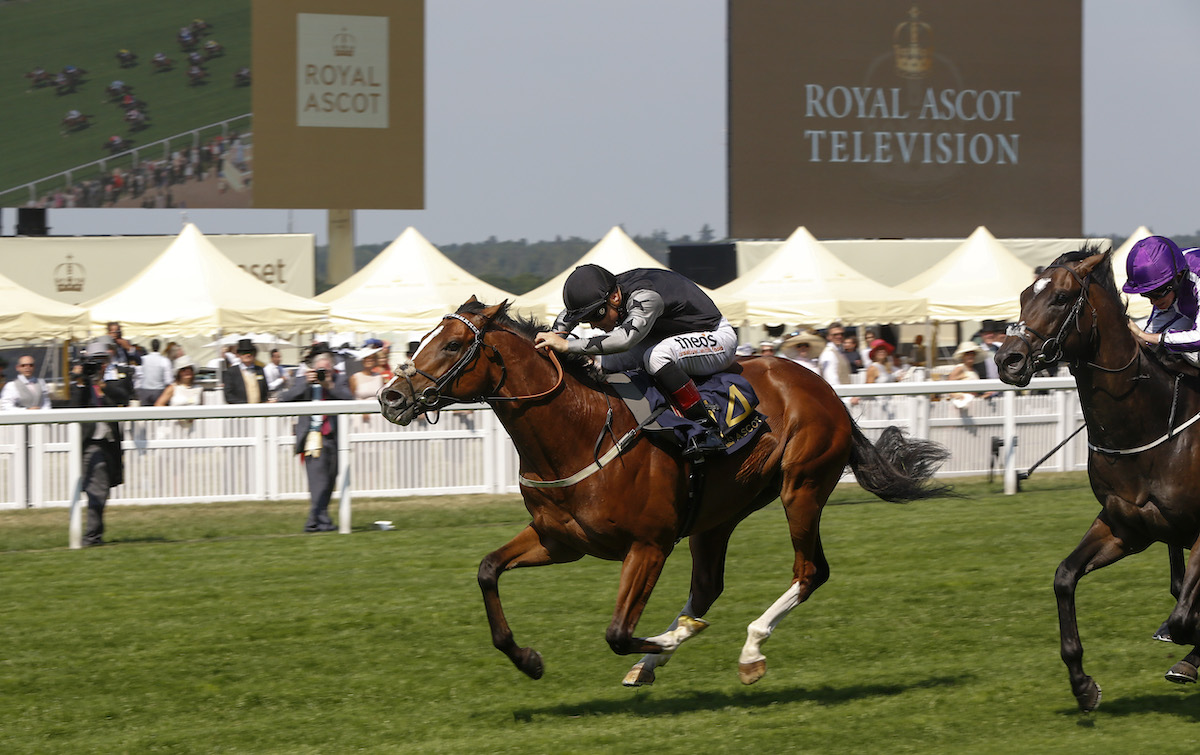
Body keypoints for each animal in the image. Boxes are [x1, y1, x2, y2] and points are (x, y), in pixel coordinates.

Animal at [379, 297, 950, 686]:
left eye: (453, 345)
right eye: (424, 338)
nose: (390, 396)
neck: (579, 430)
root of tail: (824, 388)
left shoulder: (648, 545)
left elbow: (617, 632)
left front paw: (670, 637)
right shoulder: (559, 541)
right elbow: (487, 571)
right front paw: (529, 660)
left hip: (802, 487)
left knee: (809, 571)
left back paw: (747, 650)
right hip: (720, 513)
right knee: (710, 585)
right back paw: (661, 656)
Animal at [993, 246, 1200, 705]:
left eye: (1061, 298)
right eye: (1022, 295)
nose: (1007, 359)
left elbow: (1184, 618)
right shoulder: (1126, 527)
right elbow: (1064, 577)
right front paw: (1083, 684)